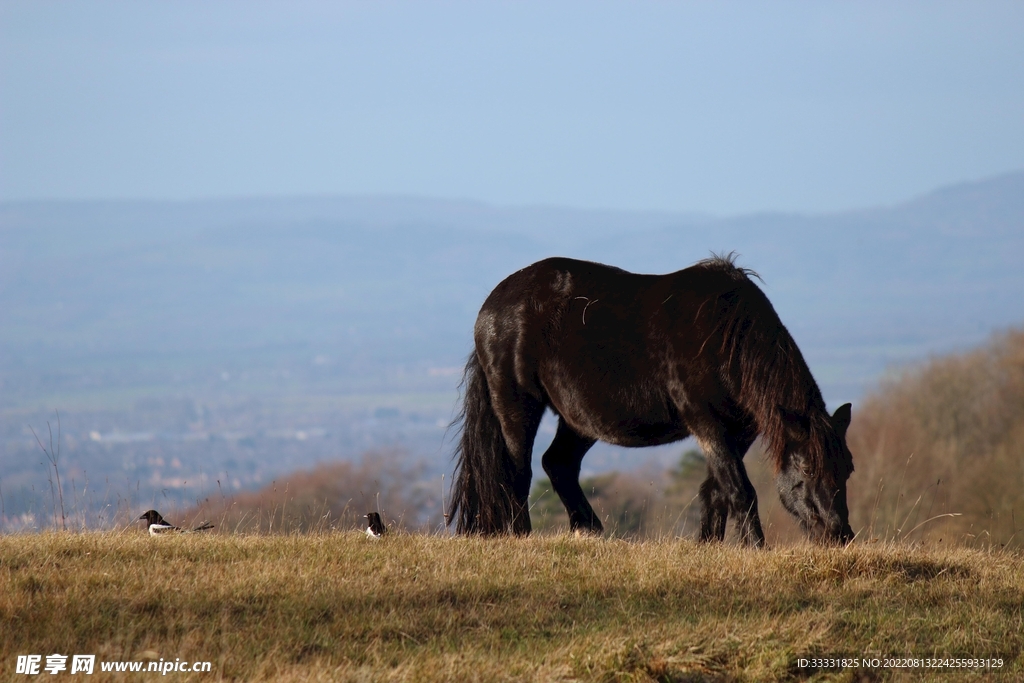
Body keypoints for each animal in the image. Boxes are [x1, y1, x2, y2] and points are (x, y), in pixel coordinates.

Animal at [448, 255, 855, 546]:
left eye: (848, 468)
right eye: (807, 470)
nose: (839, 535)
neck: (726, 335)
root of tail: (491, 307)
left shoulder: (738, 432)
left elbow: (715, 490)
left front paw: (708, 546)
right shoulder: (707, 425)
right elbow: (740, 490)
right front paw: (754, 548)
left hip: (579, 421)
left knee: (557, 464)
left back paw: (589, 530)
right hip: (517, 406)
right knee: (517, 471)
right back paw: (522, 537)